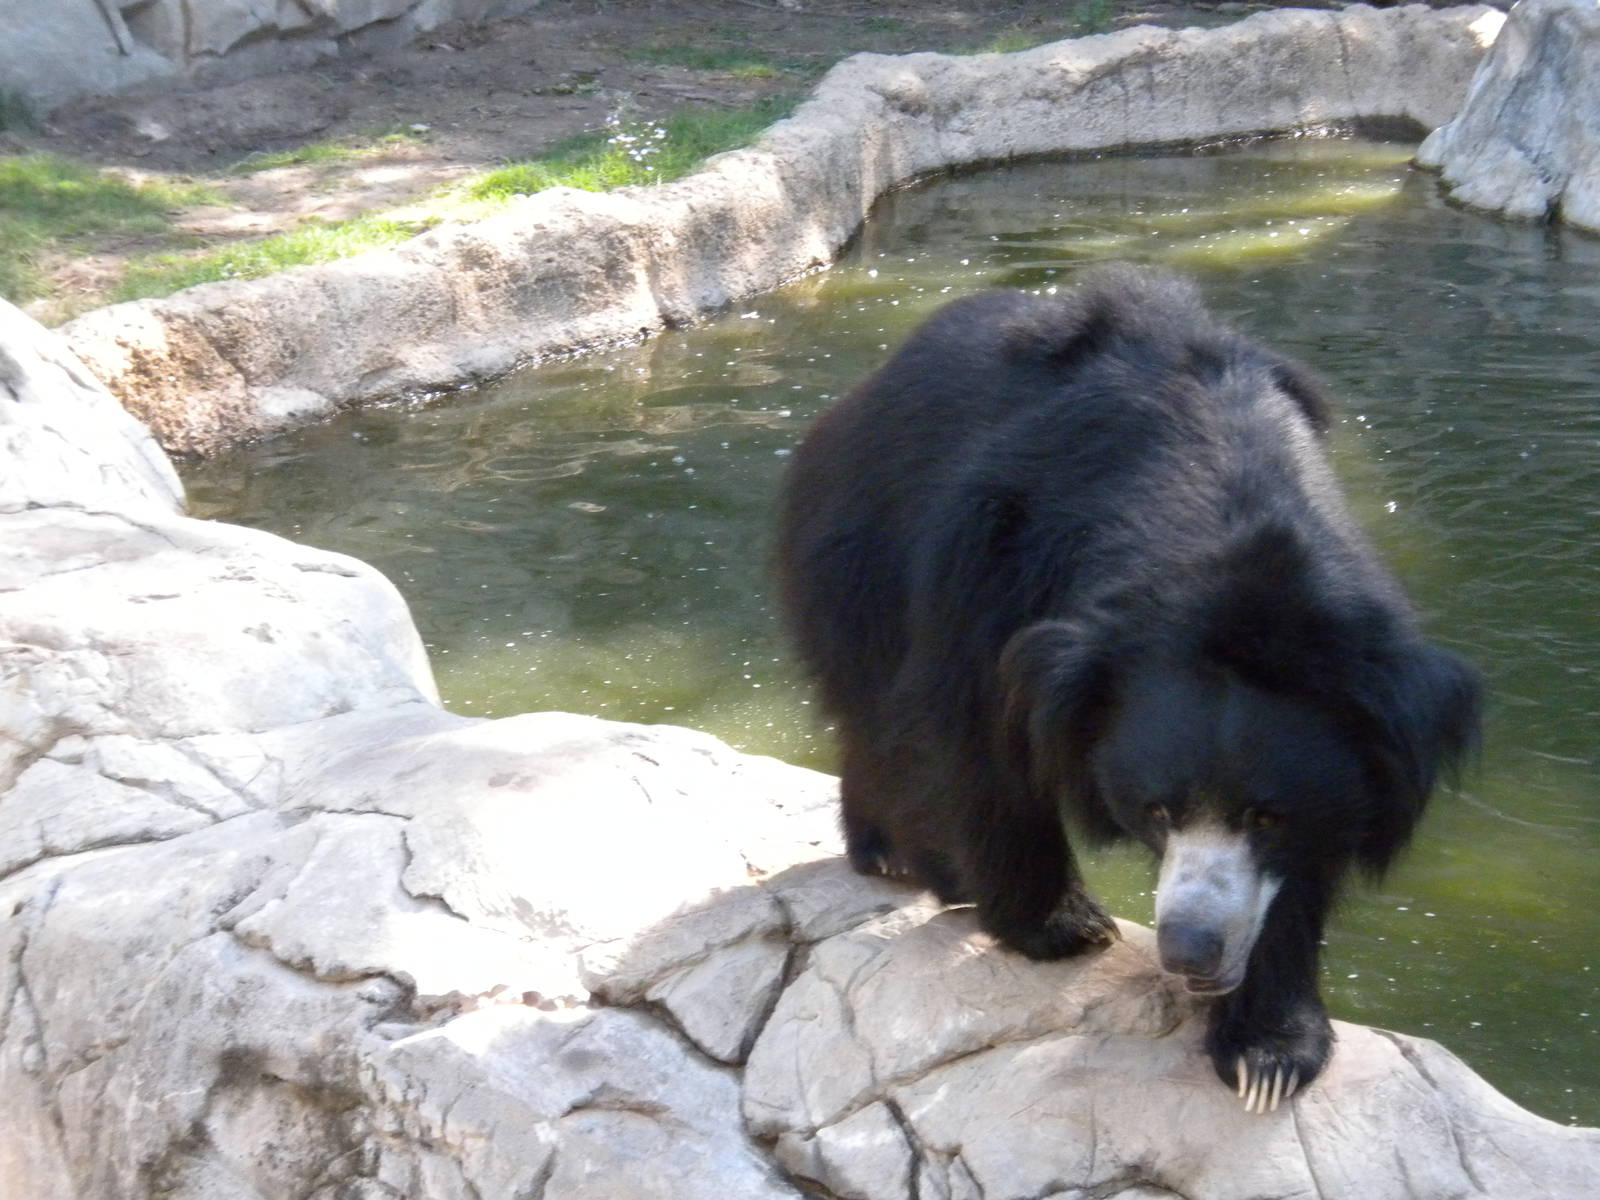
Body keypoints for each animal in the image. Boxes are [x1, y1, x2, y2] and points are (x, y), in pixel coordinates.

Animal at [774, 266, 1480, 1111]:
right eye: (1157, 809)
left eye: (1266, 816)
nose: (1190, 948)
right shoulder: (994, 563)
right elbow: (980, 738)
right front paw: (1060, 926)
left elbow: (1306, 861)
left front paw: (1269, 1054)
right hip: (861, 553)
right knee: (884, 715)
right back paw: (905, 858)